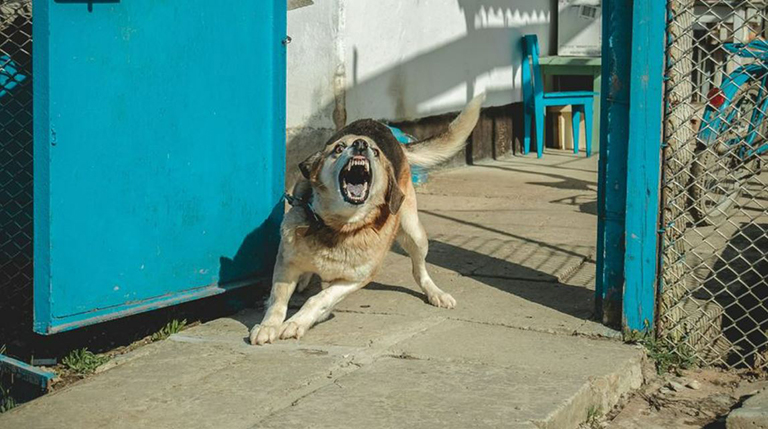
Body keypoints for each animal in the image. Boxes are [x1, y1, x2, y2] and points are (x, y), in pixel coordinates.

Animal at [249, 94, 484, 344]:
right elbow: (277, 300)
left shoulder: (355, 279)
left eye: (376, 152)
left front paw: (296, 323)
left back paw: (436, 293)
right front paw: (268, 325)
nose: (360, 144)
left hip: (415, 233)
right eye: (339, 148)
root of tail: (382, 127)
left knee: (419, 271)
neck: (338, 226)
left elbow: (320, 299)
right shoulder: (286, 264)